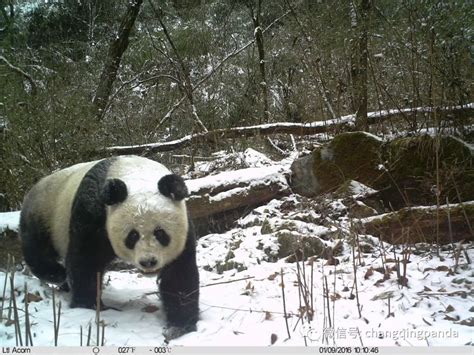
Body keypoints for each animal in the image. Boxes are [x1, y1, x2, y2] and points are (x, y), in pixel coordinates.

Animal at [19, 157, 198, 340]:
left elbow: (178, 275)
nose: (148, 262)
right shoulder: (93, 212)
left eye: (160, 233)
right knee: (37, 248)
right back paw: (57, 275)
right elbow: (85, 261)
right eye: (133, 235)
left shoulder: (184, 230)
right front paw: (87, 305)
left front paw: (180, 325)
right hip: (45, 214)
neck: (134, 173)